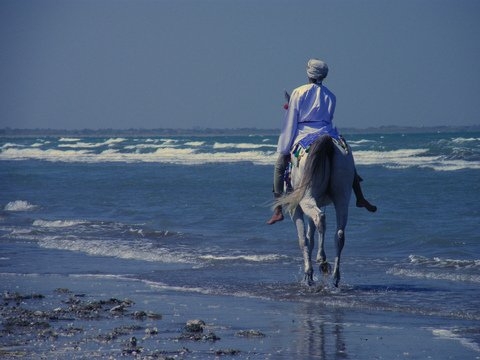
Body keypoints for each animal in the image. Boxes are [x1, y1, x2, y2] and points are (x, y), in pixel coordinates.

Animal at [276, 134, 354, 288]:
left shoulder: (295, 209)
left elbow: (303, 239)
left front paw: (308, 274)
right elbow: (310, 238)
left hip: (306, 197)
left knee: (320, 217)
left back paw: (322, 260)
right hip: (342, 195)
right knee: (339, 233)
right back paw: (335, 276)